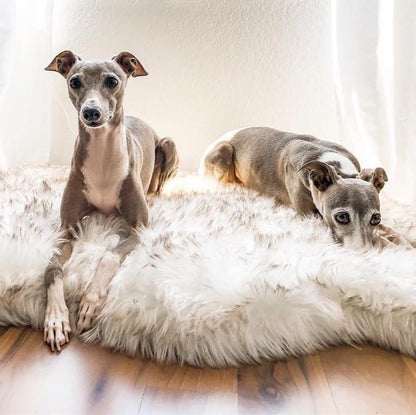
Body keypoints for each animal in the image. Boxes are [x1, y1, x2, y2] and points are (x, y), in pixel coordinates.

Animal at [44, 50, 179, 352]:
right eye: (75, 82)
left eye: (112, 81)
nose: (91, 113)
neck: (103, 154)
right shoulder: (67, 228)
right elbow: (53, 268)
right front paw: (56, 319)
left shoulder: (139, 228)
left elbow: (107, 255)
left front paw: (90, 302)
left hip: (168, 145)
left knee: (159, 183)